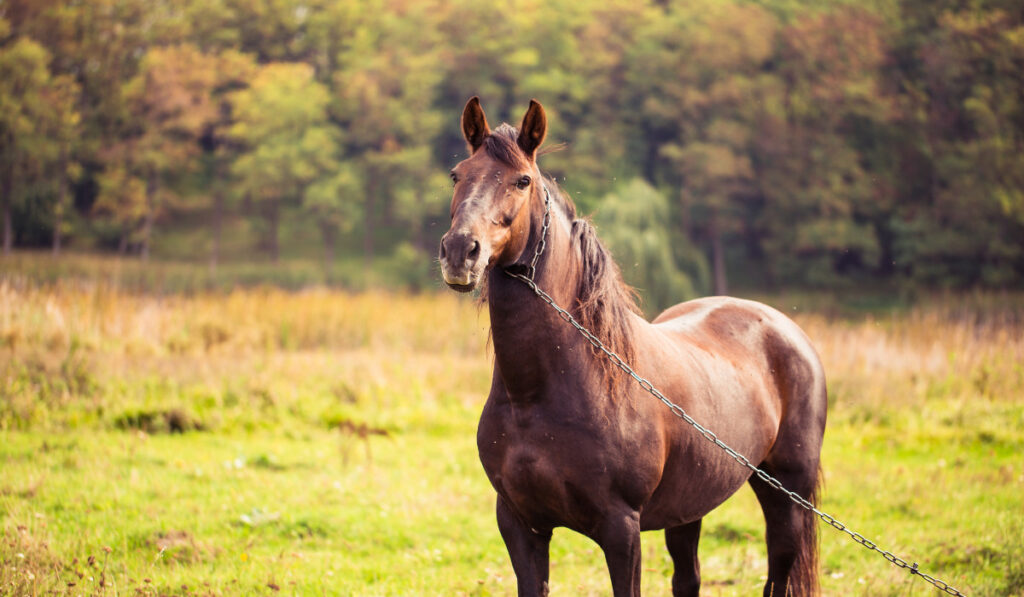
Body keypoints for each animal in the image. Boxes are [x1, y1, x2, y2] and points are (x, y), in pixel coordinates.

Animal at [436, 95, 827, 593]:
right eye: (457, 174)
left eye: (522, 180)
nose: (460, 251)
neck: (541, 393)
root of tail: (784, 327)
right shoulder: (520, 523)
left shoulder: (621, 529)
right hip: (690, 508)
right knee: (688, 577)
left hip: (786, 492)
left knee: (779, 568)